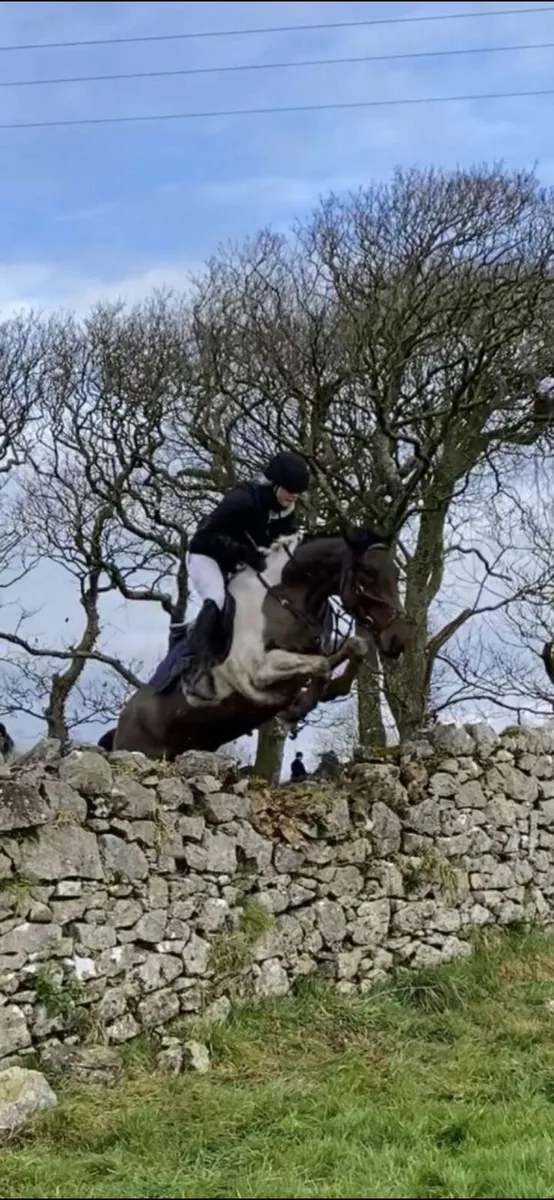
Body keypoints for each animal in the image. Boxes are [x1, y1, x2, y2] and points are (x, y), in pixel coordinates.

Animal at [102, 526, 413, 760]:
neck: (287, 596)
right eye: (367, 576)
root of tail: (120, 727)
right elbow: (321, 665)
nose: (399, 638)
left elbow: (353, 647)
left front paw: (333, 689)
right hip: (143, 750)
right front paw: (296, 710)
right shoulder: (259, 672)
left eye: (396, 573)